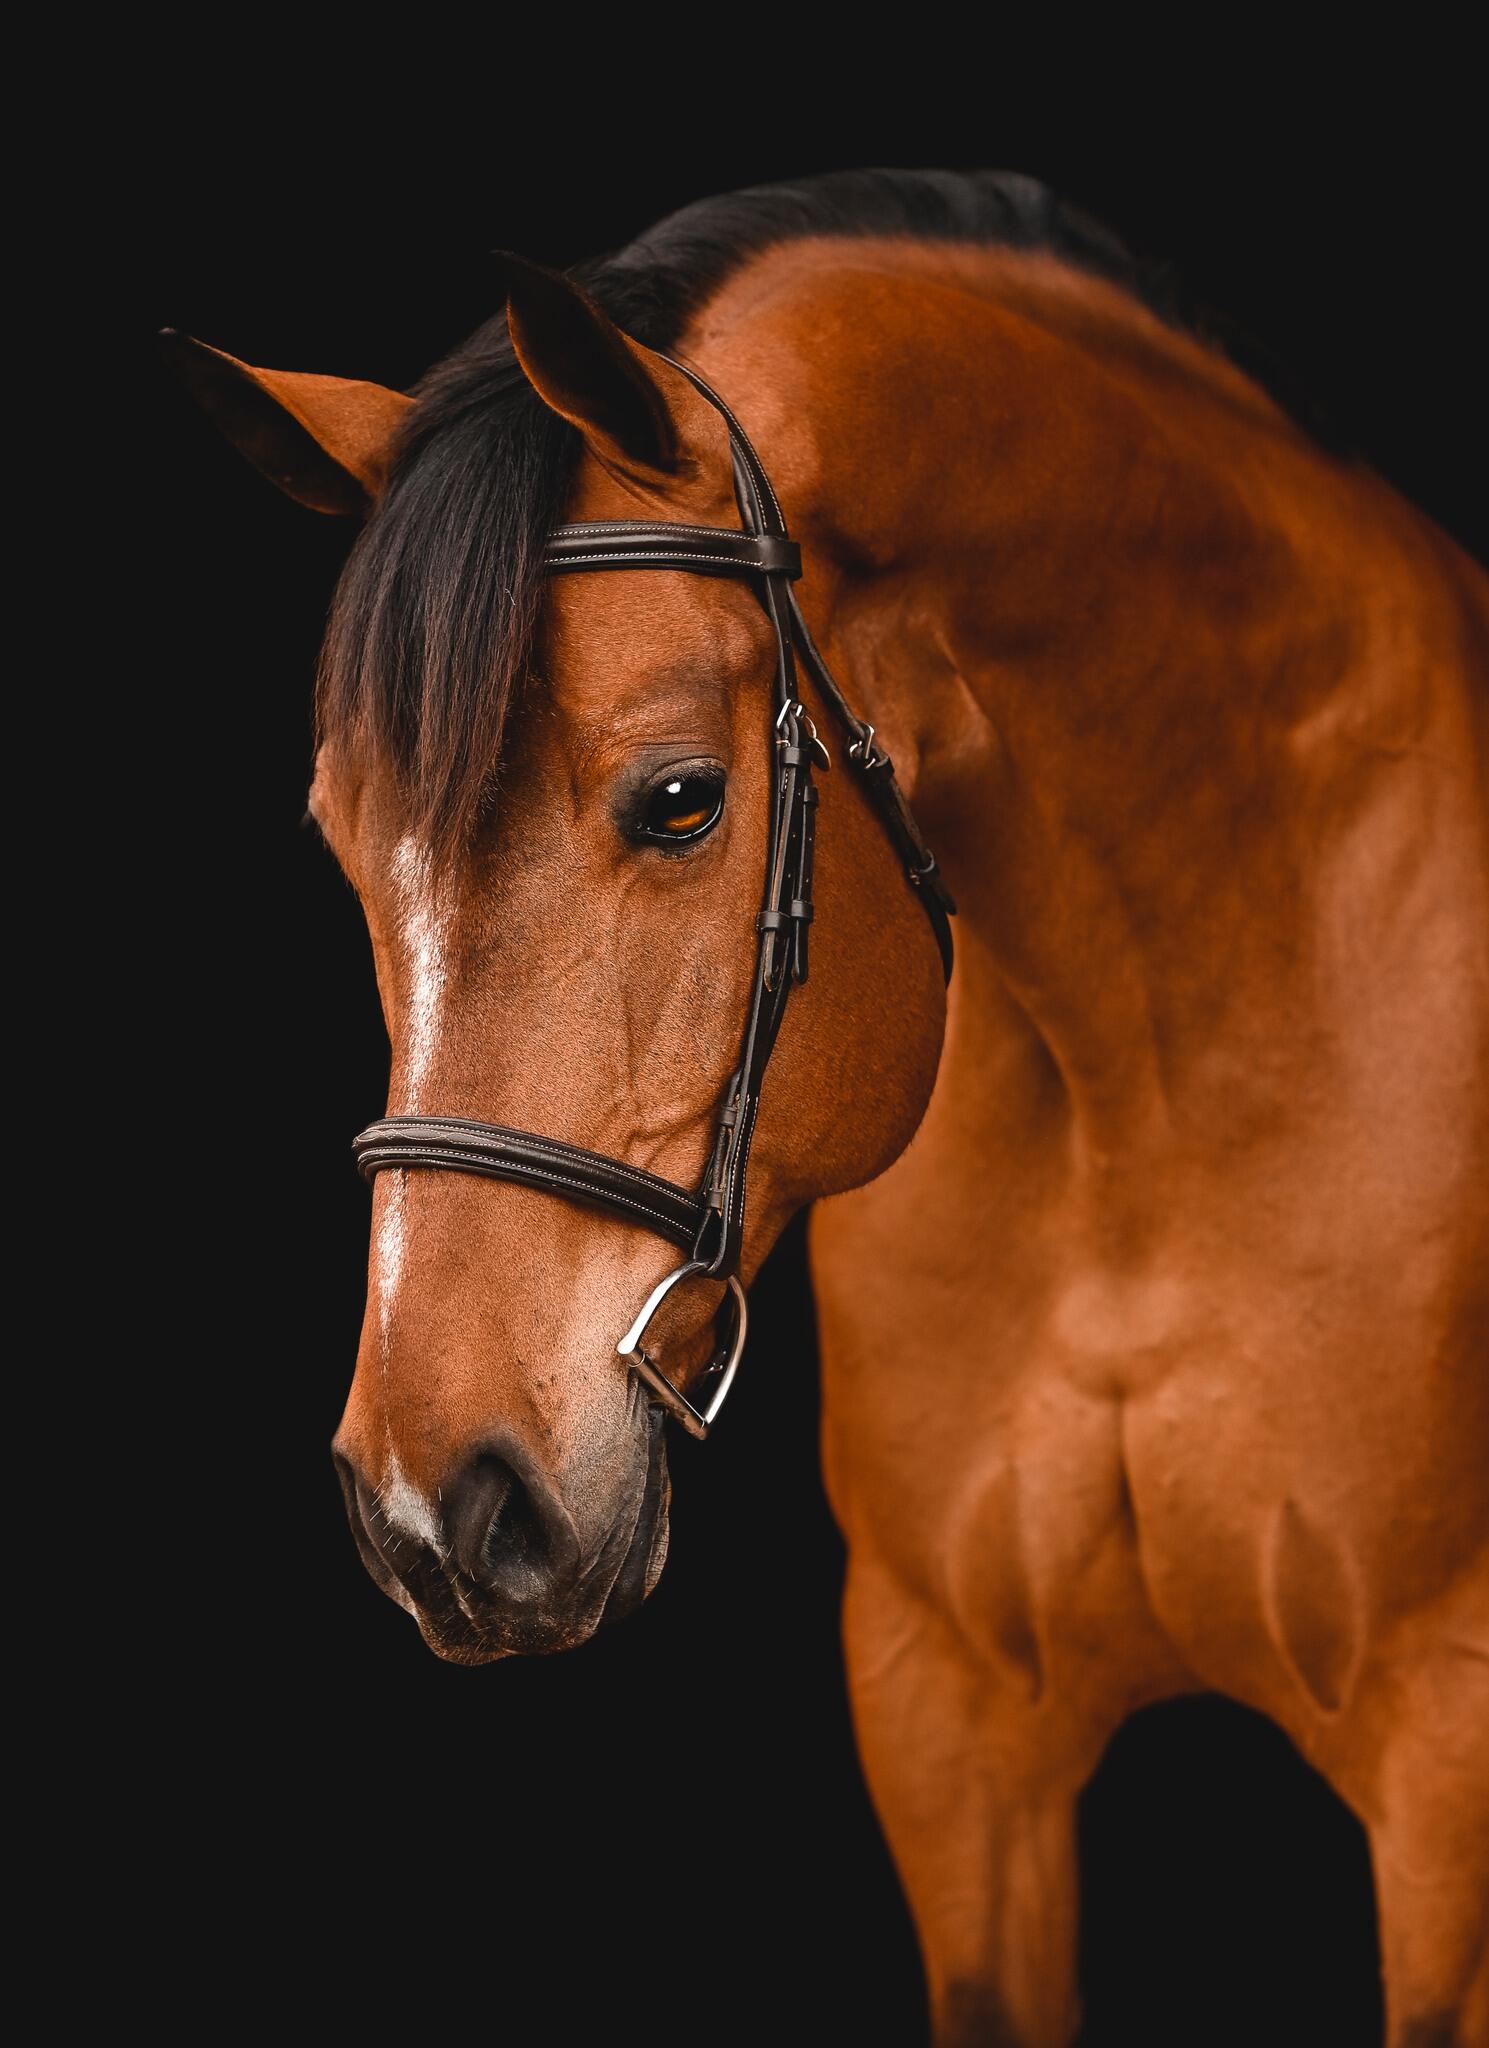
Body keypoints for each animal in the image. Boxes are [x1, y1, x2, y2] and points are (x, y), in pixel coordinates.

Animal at [167, 169, 1489, 2047]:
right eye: (343, 837)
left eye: (677, 800)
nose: (438, 1510)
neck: (1149, 1075)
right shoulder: (947, 1721)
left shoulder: (1446, 1745)